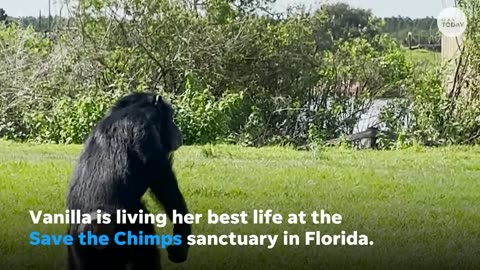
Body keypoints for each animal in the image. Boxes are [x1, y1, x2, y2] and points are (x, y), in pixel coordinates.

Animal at [65, 92, 191, 268]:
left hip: (77, 245)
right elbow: (163, 181)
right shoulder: (146, 133)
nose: (177, 129)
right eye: (171, 116)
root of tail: (94, 225)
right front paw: (181, 239)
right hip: (130, 229)